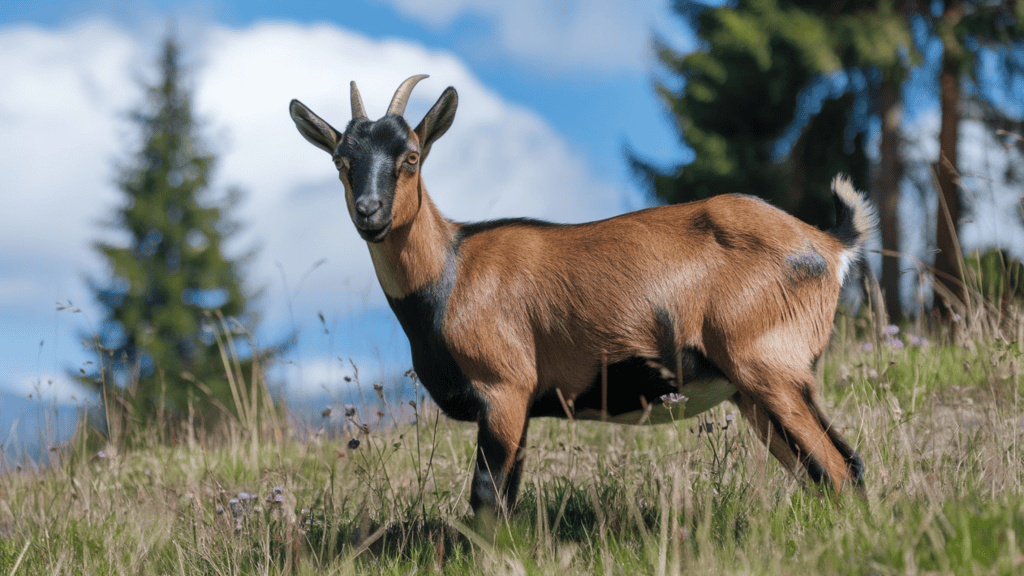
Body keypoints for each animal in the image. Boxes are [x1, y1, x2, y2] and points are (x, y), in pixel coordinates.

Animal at [289, 75, 876, 515]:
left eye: (411, 156)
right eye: (341, 161)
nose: (369, 212)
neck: (453, 271)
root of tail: (830, 243)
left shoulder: (504, 387)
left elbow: (486, 499)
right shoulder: (521, 405)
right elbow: (506, 498)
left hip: (768, 364)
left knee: (839, 468)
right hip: (754, 388)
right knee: (828, 468)